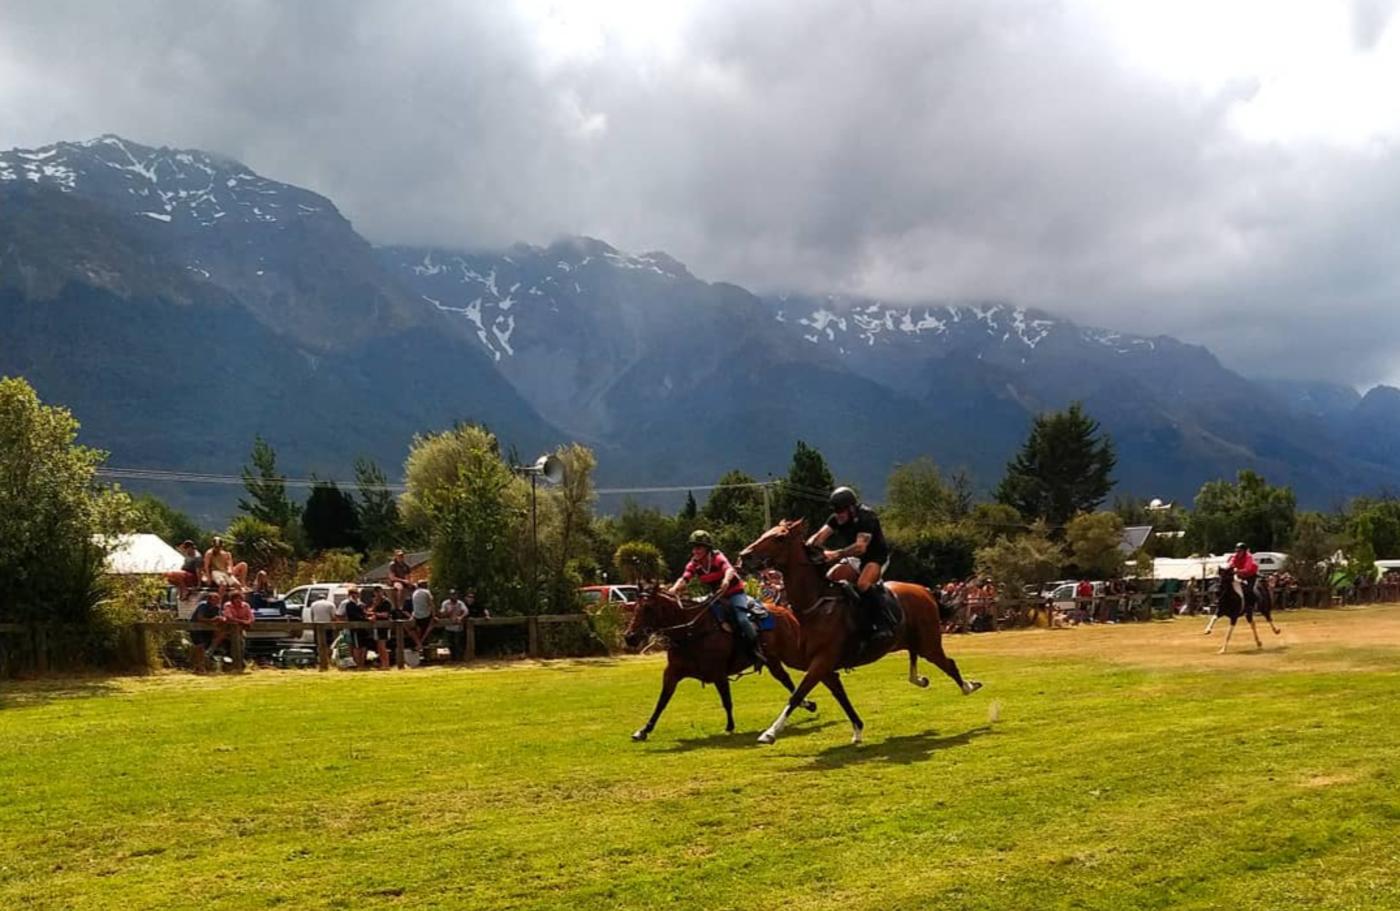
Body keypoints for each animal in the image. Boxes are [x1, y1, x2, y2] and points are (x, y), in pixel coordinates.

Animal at [627, 584, 817, 738]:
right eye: (635, 606)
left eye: (648, 608)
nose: (630, 637)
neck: (692, 632)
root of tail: (784, 610)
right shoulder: (672, 673)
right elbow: (661, 702)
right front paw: (644, 730)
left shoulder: (719, 673)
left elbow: (727, 701)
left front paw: (730, 726)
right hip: (773, 660)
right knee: (785, 679)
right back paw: (807, 704)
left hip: (790, 655)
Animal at [733, 523, 985, 744]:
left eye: (779, 538)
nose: (744, 556)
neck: (816, 605)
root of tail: (924, 590)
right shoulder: (824, 668)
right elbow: (841, 697)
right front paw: (857, 730)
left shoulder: (822, 662)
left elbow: (797, 695)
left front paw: (770, 733)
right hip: (913, 641)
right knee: (917, 660)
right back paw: (921, 679)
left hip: (929, 644)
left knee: (949, 663)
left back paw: (969, 687)